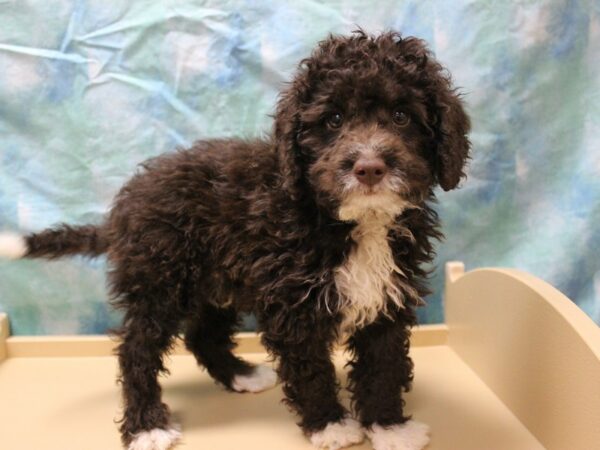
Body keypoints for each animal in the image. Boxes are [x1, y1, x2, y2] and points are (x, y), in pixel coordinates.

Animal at [0, 29, 468, 448]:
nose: (369, 167)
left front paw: (388, 427)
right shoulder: (293, 307)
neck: (353, 223)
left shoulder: (387, 296)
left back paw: (241, 375)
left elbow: (383, 364)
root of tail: (125, 207)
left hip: (215, 281)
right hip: (160, 282)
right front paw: (330, 425)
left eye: (402, 117)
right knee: (137, 350)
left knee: (201, 335)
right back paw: (147, 425)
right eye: (333, 120)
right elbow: (311, 368)